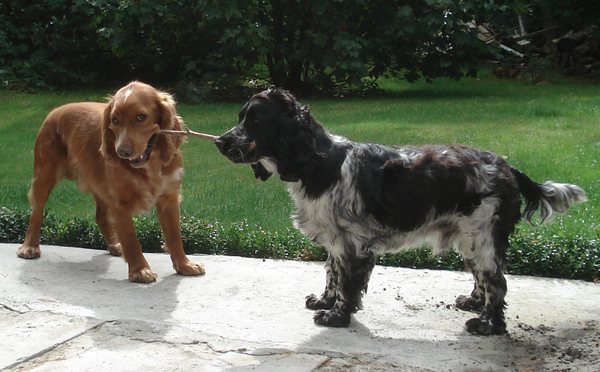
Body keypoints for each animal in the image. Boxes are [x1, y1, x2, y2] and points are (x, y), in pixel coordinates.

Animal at [17, 81, 205, 282]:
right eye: (115, 120)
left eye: (141, 117)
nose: (122, 152)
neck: (150, 164)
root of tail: (56, 110)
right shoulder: (120, 203)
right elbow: (131, 240)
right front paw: (140, 270)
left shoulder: (169, 198)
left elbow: (174, 236)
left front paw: (185, 265)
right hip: (44, 175)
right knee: (37, 212)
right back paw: (30, 247)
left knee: (100, 216)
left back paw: (115, 245)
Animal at [216, 88, 584, 336]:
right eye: (239, 117)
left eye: (255, 120)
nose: (219, 142)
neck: (319, 162)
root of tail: (509, 168)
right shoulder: (336, 241)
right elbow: (332, 274)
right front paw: (324, 301)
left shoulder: (353, 243)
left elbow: (346, 284)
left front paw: (336, 317)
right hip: (470, 237)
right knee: (482, 278)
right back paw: (473, 302)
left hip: (483, 236)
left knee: (498, 284)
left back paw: (487, 324)